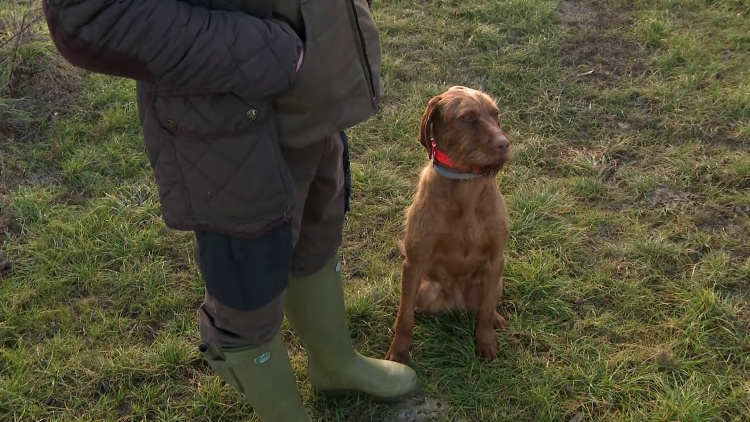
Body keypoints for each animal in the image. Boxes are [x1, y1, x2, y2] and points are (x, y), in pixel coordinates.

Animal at [384, 85, 516, 362]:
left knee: (487, 305)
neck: (465, 187)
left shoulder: (495, 259)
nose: (504, 144)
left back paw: (496, 319)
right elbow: (405, 317)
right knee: (410, 308)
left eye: (496, 114)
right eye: (467, 117)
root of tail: (455, 302)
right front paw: (399, 354)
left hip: (496, 280)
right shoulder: (414, 263)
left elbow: (485, 310)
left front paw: (486, 342)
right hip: (422, 287)